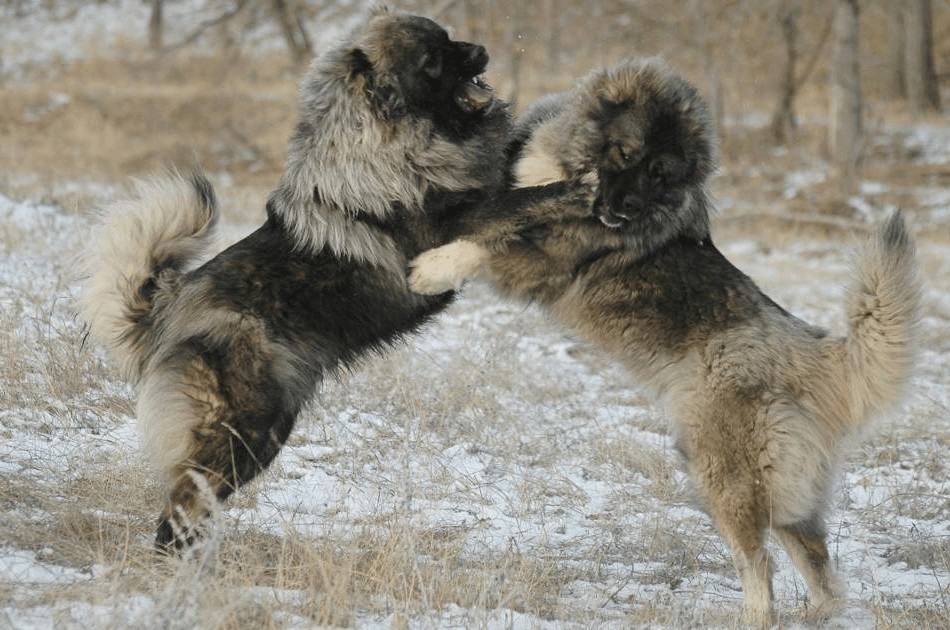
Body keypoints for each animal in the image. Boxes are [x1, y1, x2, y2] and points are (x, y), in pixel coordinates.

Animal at [410, 56, 924, 624]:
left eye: (661, 174)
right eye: (627, 153)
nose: (628, 206)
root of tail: (814, 351)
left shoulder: (549, 262)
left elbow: (486, 246)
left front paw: (432, 268)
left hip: (721, 471)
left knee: (759, 563)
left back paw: (753, 617)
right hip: (786, 492)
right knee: (821, 571)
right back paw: (815, 615)